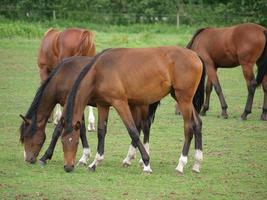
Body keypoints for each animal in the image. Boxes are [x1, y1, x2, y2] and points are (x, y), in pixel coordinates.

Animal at [21, 55, 160, 167]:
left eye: (26, 136)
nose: (28, 159)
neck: (62, 76)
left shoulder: (69, 105)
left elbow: (58, 131)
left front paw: (45, 157)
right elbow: (81, 130)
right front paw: (84, 157)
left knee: (144, 126)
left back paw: (139, 159)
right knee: (140, 126)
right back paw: (131, 158)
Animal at [60, 46, 206, 173]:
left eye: (76, 141)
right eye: (62, 141)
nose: (68, 167)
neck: (100, 71)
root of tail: (195, 55)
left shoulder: (120, 103)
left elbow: (133, 131)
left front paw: (146, 163)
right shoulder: (103, 105)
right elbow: (101, 131)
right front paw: (95, 162)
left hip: (184, 99)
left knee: (188, 128)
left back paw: (181, 165)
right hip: (181, 98)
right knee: (197, 123)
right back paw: (197, 164)